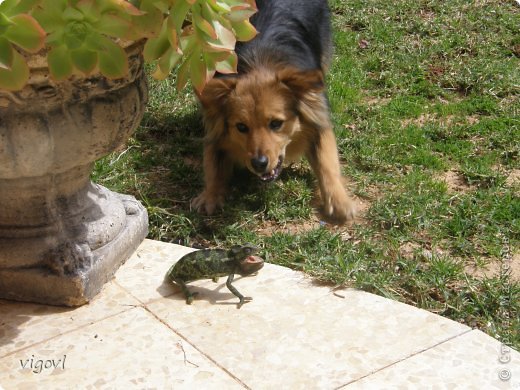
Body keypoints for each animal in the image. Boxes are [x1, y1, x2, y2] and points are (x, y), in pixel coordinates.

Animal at [193, 0, 356, 224]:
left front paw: (339, 200)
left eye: (276, 123)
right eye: (241, 127)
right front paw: (210, 194)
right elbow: (212, 160)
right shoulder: (214, 122)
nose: (259, 164)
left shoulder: (318, 115)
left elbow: (327, 161)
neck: (260, 62)